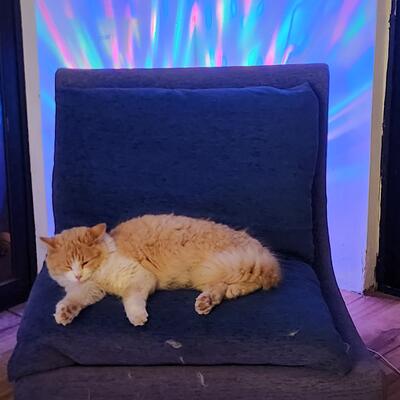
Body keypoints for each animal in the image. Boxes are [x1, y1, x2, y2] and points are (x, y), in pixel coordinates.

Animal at [41, 214, 281, 326]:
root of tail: (264, 253)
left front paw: (137, 317)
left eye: (85, 262)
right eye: (67, 265)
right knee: (224, 288)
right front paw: (64, 314)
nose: (78, 275)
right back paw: (210, 300)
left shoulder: (139, 278)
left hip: (224, 265)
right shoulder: (90, 289)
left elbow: (131, 299)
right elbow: (73, 300)